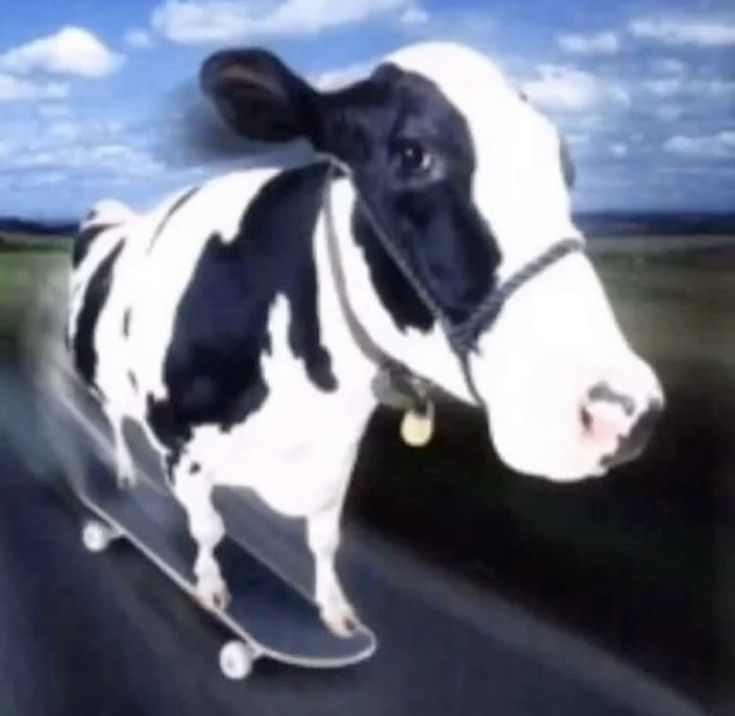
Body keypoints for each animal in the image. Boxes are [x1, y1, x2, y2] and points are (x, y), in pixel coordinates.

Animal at [66, 42, 664, 636]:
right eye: (412, 154)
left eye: (563, 160)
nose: (624, 410)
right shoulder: (180, 445)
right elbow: (208, 528)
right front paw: (212, 589)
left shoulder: (337, 456)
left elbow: (325, 538)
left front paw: (336, 613)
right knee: (115, 422)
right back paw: (123, 478)